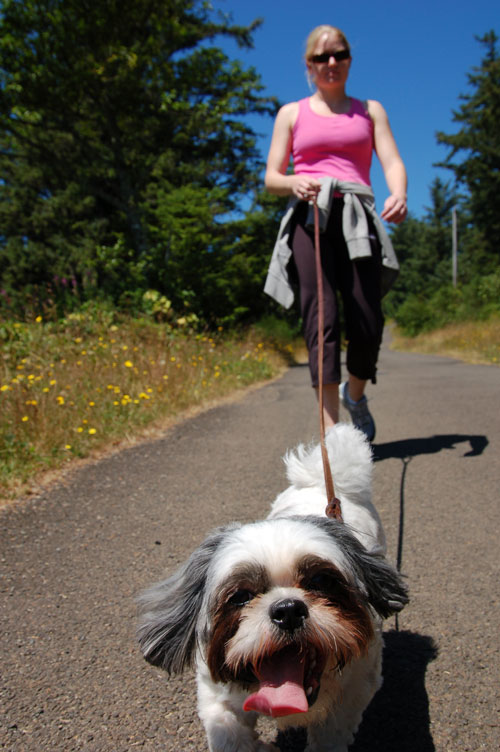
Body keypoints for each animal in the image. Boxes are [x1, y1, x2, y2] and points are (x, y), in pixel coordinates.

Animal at [136, 424, 406, 752]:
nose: (288, 609)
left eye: (320, 582)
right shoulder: (217, 698)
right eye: (241, 596)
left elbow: (331, 733)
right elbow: (231, 736)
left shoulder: (353, 690)